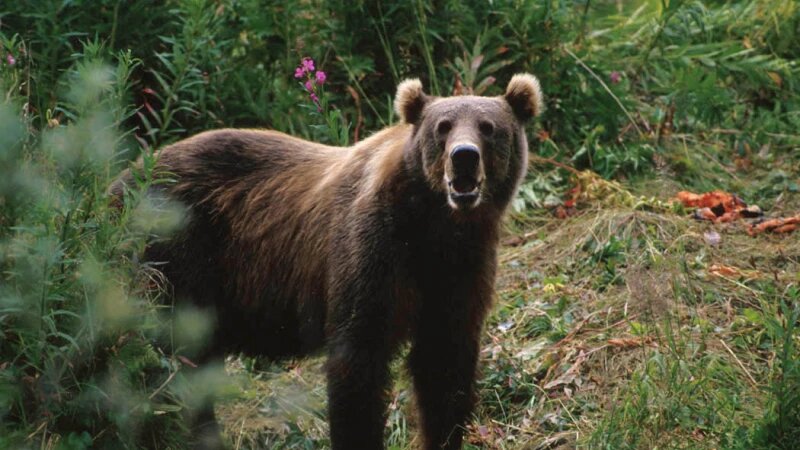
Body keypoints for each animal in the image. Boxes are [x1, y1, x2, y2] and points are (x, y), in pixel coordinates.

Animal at [111, 73, 543, 449]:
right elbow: (357, 364)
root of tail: (120, 180)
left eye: (488, 127)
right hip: (173, 255)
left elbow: (444, 363)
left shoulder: (460, 268)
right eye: (443, 126)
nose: (464, 157)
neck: (433, 225)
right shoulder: (372, 251)